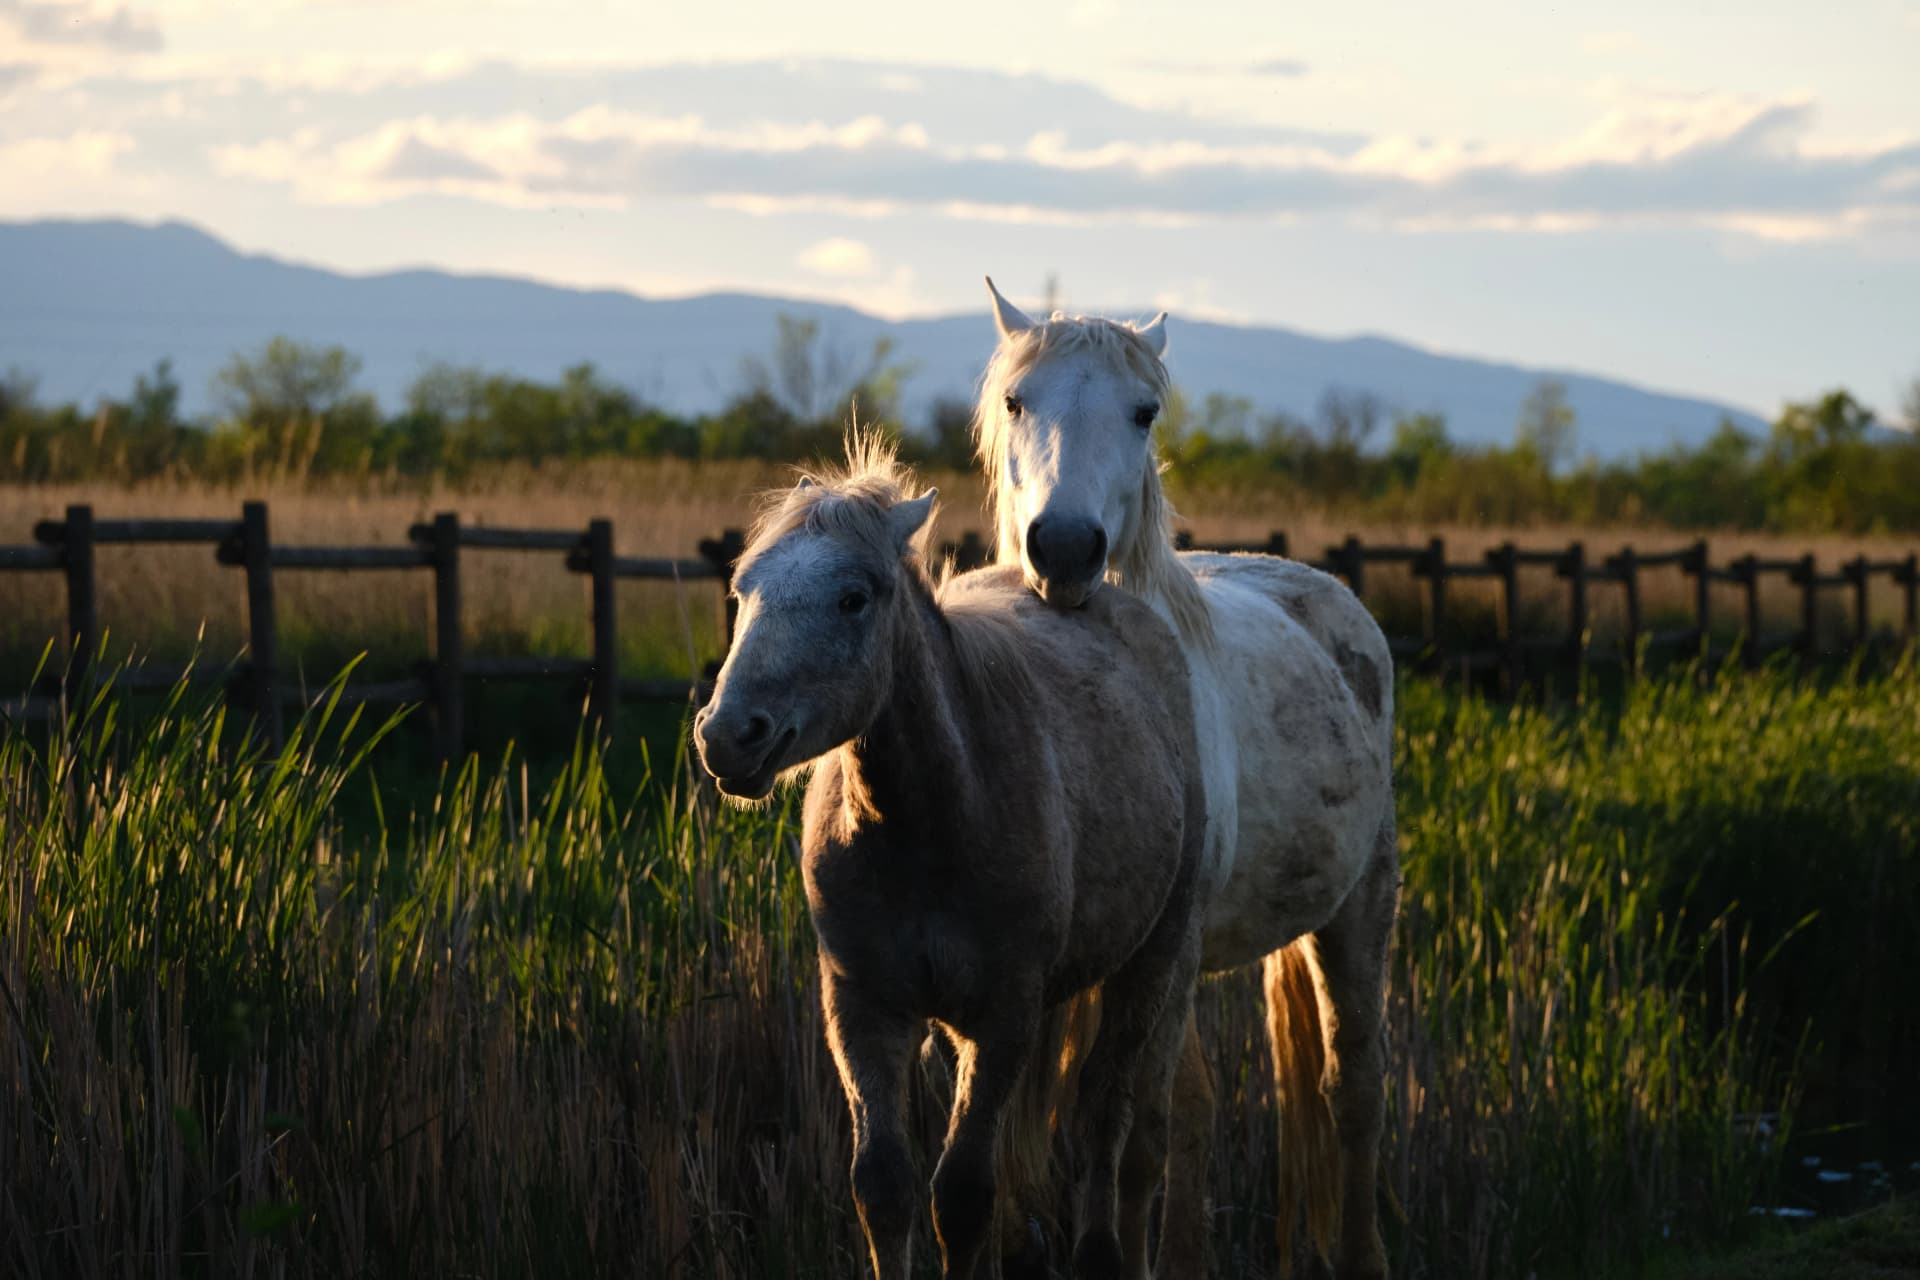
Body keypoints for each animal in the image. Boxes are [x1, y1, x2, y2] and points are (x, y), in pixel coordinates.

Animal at [692, 439, 1211, 1279]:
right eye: (743, 590)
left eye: (854, 598)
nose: (728, 736)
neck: (934, 824)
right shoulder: (864, 1009)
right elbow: (884, 1185)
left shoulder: (1004, 1018)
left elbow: (962, 1194)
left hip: (1149, 966)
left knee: (1106, 1115)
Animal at [973, 279, 1402, 1279]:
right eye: (1017, 402)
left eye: (1145, 412)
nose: (1065, 549)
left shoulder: (1155, 966)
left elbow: (1136, 1138)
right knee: (1207, 1111)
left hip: (1358, 908)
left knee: (1352, 1086)